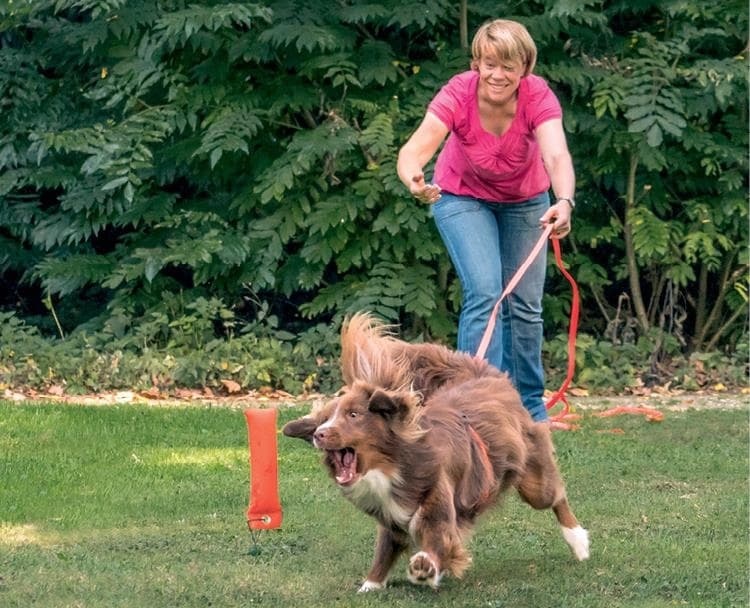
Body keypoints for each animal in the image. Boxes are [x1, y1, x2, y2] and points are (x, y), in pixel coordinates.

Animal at [284, 316, 592, 592]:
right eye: (325, 418)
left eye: (353, 414)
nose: (319, 434)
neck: (394, 467)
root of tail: (483, 371)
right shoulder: (390, 520)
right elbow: (384, 551)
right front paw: (370, 585)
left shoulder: (438, 508)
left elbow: (438, 543)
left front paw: (425, 568)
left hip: (533, 480)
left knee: (557, 495)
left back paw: (578, 541)